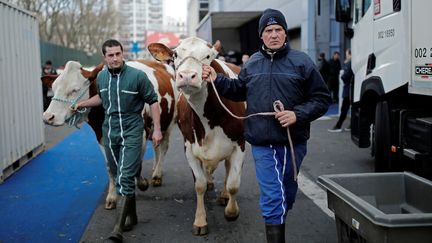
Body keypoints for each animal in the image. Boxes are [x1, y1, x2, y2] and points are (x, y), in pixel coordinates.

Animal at [41, 60, 177, 209]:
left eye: (74, 90)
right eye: (53, 88)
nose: (48, 117)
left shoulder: (141, 135)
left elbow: (135, 165)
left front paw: (141, 183)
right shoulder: (102, 138)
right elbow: (110, 167)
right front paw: (112, 197)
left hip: (168, 122)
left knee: (163, 146)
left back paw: (157, 175)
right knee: (156, 146)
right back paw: (155, 169)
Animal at [148, 36, 245, 235]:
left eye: (208, 56)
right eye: (175, 55)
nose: (186, 76)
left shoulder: (240, 144)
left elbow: (233, 183)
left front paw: (231, 212)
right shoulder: (189, 147)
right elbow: (199, 184)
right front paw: (200, 221)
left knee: (227, 168)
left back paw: (223, 195)